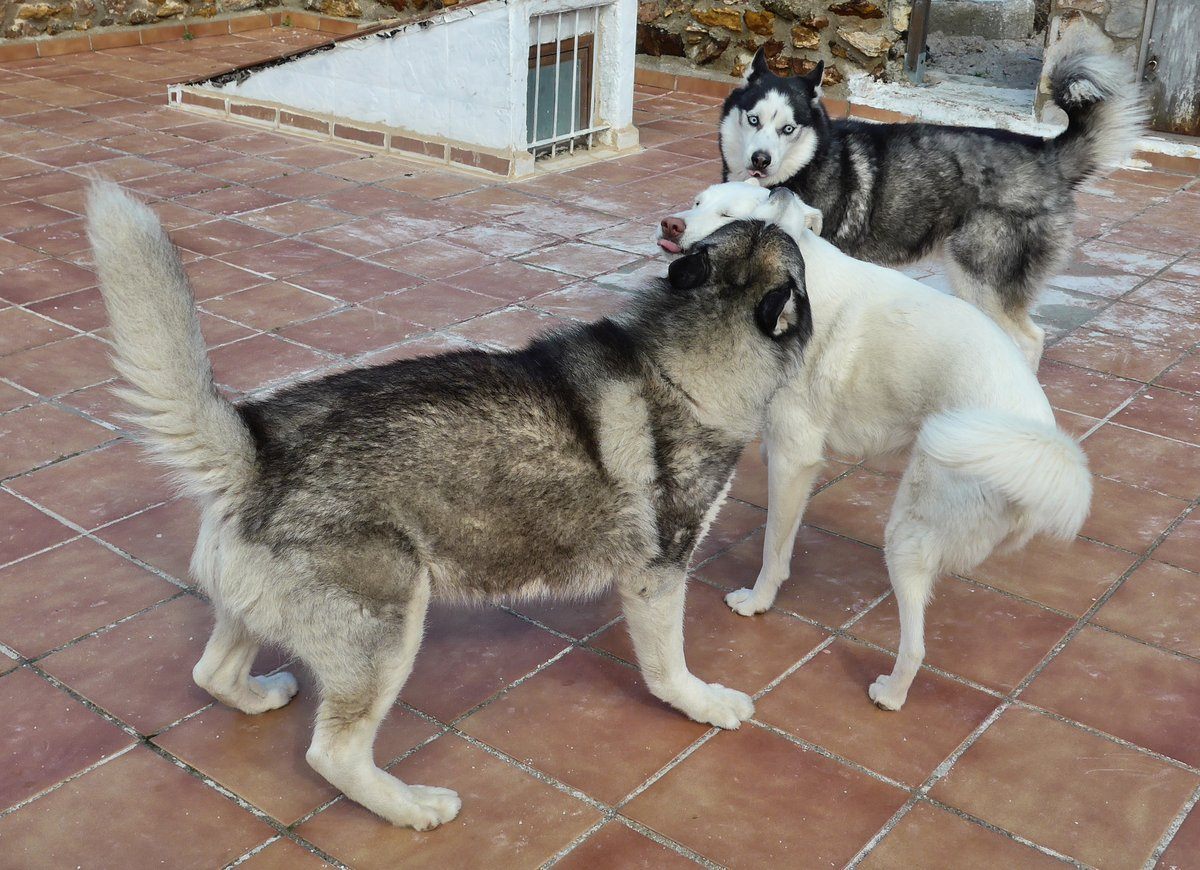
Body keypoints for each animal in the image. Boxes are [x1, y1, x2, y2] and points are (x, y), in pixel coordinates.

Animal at [657, 181, 1089, 705]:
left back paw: (890, 693)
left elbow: (774, 547)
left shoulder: (794, 458)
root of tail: (1044, 453)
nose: (671, 224)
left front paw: (759, 600)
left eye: (728, 216)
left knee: (917, 646)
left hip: (905, 535)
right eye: (698, 202)